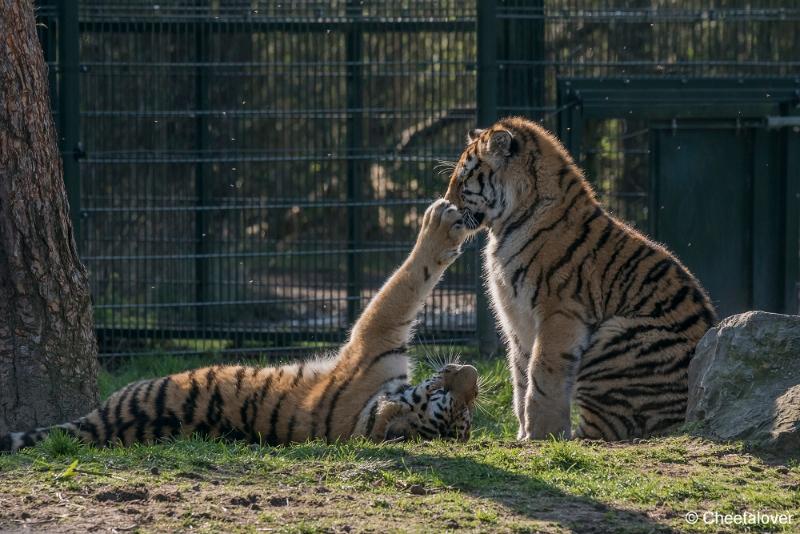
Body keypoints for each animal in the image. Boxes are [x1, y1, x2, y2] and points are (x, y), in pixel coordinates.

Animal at [1, 199, 476, 454]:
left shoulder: (373, 341)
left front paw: (440, 226)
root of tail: (97, 426)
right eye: (450, 398)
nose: (469, 372)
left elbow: (408, 282)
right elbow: (408, 284)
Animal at [444, 118, 720, 444]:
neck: (507, 225)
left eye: (463, 180)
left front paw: (542, 433)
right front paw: (524, 434)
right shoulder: (517, 318)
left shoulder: (560, 314)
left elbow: (542, 372)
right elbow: (520, 374)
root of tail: (687, 416)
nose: (445, 205)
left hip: (617, 340)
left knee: (604, 430)